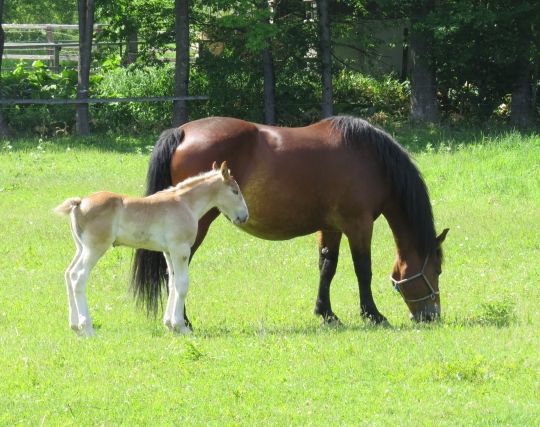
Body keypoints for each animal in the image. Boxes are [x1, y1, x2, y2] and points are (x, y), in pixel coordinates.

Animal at [54, 161, 249, 338]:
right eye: (235, 191)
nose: (244, 216)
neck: (185, 204)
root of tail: (79, 203)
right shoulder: (181, 249)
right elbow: (182, 284)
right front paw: (181, 326)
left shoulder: (168, 252)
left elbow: (172, 282)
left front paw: (169, 325)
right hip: (95, 249)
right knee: (79, 277)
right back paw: (87, 328)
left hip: (81, 248)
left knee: (68, 274)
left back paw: (75, 327)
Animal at [133, 115, 450, 326]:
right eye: (437, 269)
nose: (432, 316)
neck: (369, 159)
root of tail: (183, 131)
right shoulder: (359, 225)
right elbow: (363, 270)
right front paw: (373, 314)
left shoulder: (331, 227)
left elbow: (327, 267)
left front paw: (327, 313)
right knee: (176, 272)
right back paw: (183, 320)